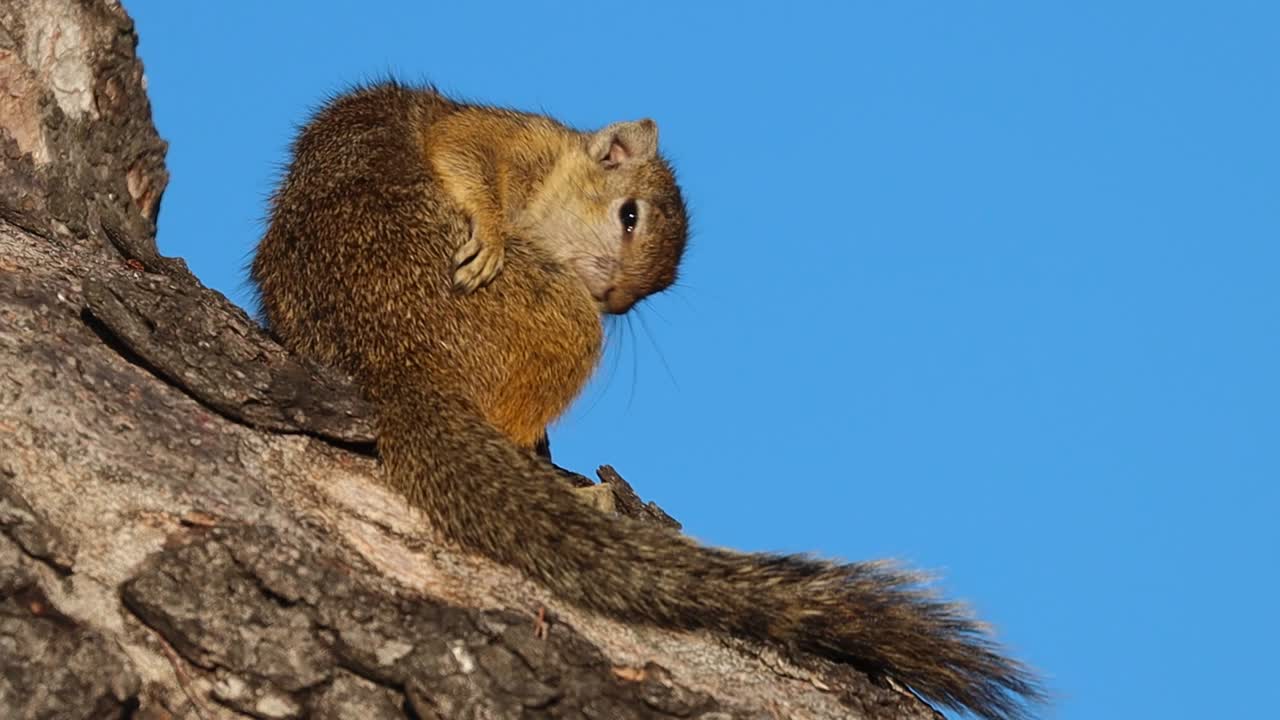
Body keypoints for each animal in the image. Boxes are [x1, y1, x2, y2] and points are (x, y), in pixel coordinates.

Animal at [251, 80, 1043, 720]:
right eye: (629, 215)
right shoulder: (508, 138)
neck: (554, 175)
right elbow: (464, 151)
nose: (613, 297)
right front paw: (491, 227)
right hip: (560, 317)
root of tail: (395, 365)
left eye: (650, 289)